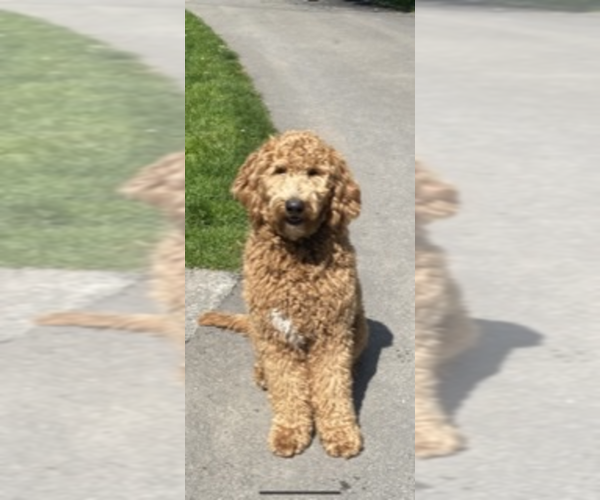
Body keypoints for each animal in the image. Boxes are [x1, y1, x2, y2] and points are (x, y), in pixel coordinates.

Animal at [199, 131, 368, 458]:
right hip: (259, 328)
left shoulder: (333, 333)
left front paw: (340, 433)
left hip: (360, 327)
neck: (297, 252)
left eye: (314, 172)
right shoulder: (274, 333)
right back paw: (262, 374)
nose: (294, 206)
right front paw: (289, 432)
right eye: (279, 170)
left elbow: (332, 386)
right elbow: (287, 386)